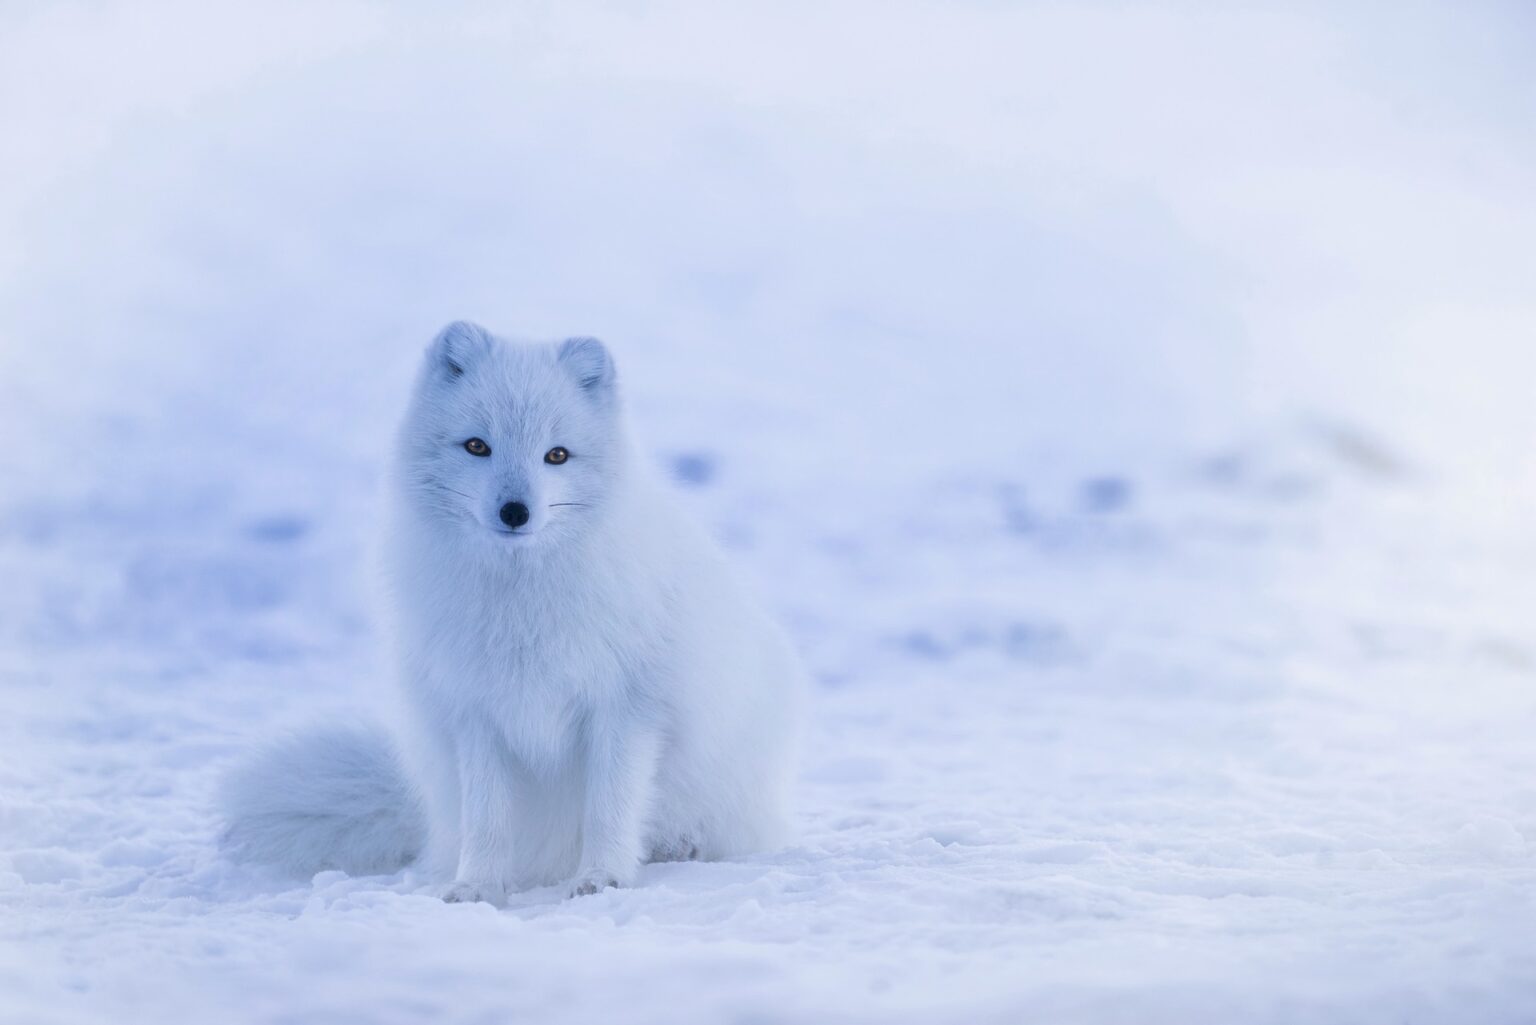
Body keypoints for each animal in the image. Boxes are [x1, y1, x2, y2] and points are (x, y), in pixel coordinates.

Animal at [225, 324, 811, 903]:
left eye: (557, 455)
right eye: (477, 446)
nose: (515, 511)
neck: (521, 601)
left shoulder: (627, 708)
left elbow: (611, 807)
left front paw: (603, 878)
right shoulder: (476, 712)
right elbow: (487, 818)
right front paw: (477, 887)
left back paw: (678, 847)